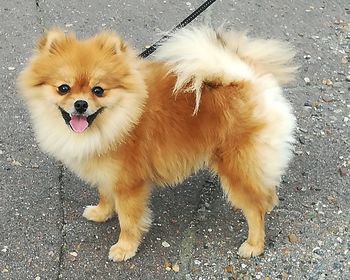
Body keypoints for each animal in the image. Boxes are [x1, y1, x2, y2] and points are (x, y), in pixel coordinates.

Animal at [16, 25, 296, 262]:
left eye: (98, 90)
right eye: (63, 88)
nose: (81, 104)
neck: (118, 118)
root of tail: (247, 78)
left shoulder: (129, 183)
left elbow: (128, 220)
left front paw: (125, 248)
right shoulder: (107, 172)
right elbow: (105, 194)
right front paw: (101, 212)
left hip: (235, 166)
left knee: (254, 208)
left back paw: (254, 244)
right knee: (264, 187)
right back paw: (271, 203)